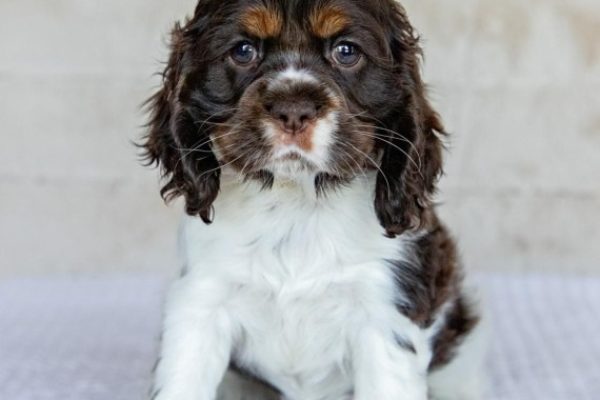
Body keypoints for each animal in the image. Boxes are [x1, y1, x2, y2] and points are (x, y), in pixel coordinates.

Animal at [143, 0, 486, 400]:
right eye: (243, 51)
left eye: (346, 51)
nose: (294, 110)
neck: (298, 203)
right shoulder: (201, 299)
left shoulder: (385, 310)